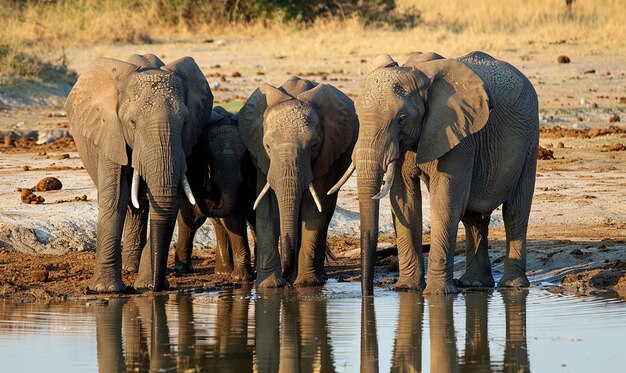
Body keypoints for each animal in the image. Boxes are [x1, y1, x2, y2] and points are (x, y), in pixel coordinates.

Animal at [65, 53, 212, 292]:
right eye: (132, 123)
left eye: (185, 122)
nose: (157, 288)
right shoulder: (110, 131)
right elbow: (115, 197)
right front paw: (107, 290)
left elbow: (169, 200)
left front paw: (145, 285)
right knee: (131, 204)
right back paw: (129, 269)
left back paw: (133, 269)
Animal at [172, 104, 255, 280]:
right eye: (212, 160)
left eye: (244, 160)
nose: (212, 206)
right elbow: (232, 218)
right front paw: (242, 278)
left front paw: (242, 277)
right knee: (193, 220)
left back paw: (224, 271)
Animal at [238, 74, 358, 286]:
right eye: (267, 146)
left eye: (314, 146)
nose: (286, 276)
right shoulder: (261, 157)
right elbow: (267, 206)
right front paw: (269, 286)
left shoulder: (326, 153)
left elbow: (313, 207)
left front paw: (306, 284)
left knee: (325, 210)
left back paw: (315, 277)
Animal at [334, 50, 540, 294]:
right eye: (358, 116)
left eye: (401, 119)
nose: (368, 295)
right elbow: (405, 201)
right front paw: (407, 289)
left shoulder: (459, 133)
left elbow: (445, 201)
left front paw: (436, 294)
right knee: (473, 218)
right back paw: (475, 284)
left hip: (529, 142)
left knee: (515, 212)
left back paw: (512, 286)